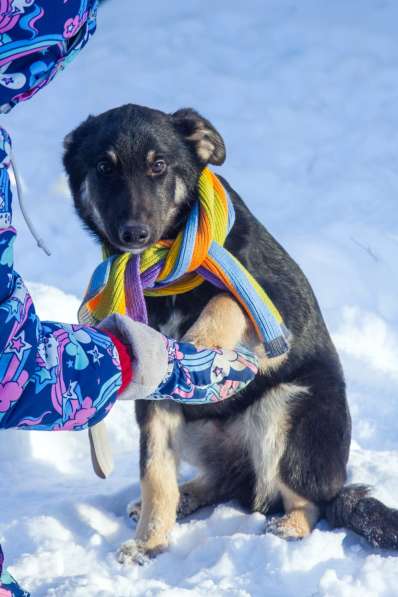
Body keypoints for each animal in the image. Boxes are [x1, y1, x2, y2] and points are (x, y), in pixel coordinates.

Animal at [63, 103, 396, 564]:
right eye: (103, 167)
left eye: (158, 165)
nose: (134, 234)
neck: (167, 266)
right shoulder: (154, 397)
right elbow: (154, 474)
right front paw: (150, 542)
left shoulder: (279, 305)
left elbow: (229, 297)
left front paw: (203, 342)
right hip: (195, 428)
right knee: (229, 481)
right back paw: (184, 497)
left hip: (288, 407)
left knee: (305, 498)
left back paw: (291, 525)